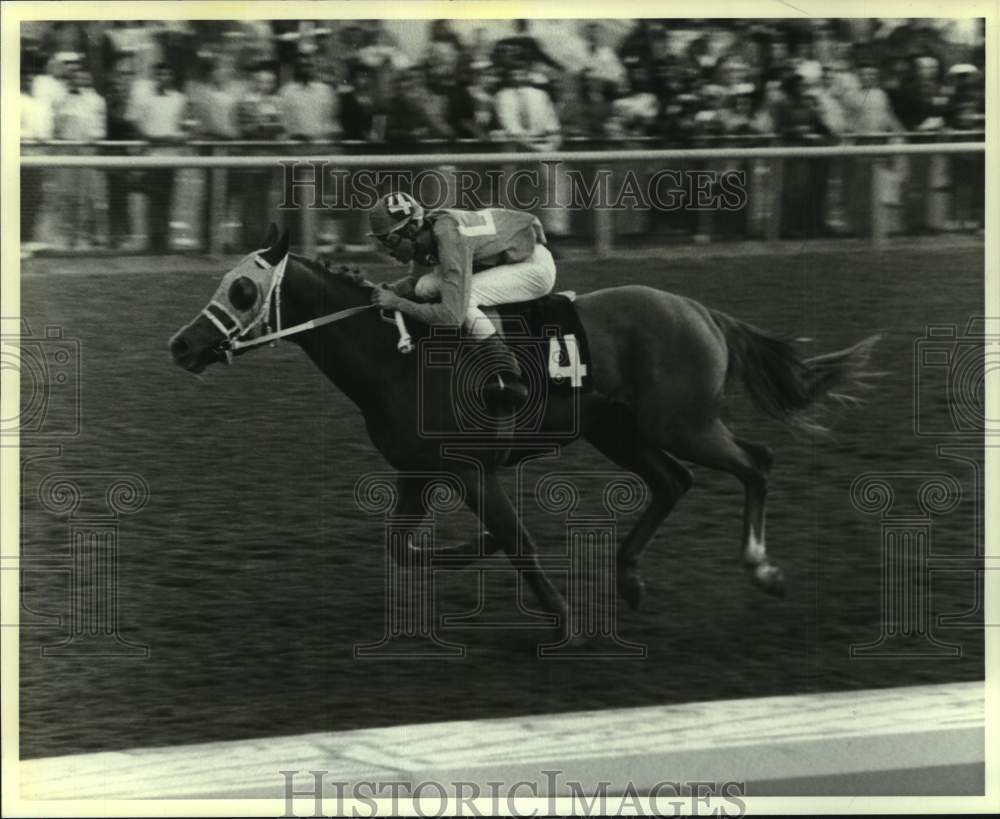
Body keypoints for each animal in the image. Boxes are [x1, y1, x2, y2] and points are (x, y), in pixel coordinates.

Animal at [168, 227, 880, 644]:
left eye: (241, 289)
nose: (181, 346)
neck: (396, 357)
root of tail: (700, 310)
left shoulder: (472, 470)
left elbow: (519, 542)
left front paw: (562, 618)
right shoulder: (417, 471)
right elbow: (405, 549)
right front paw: (477, 548)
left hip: (683, 422)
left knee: (756, 461)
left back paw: (762, 569)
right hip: (620, 431)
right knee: (672, 482)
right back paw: (628, 579)